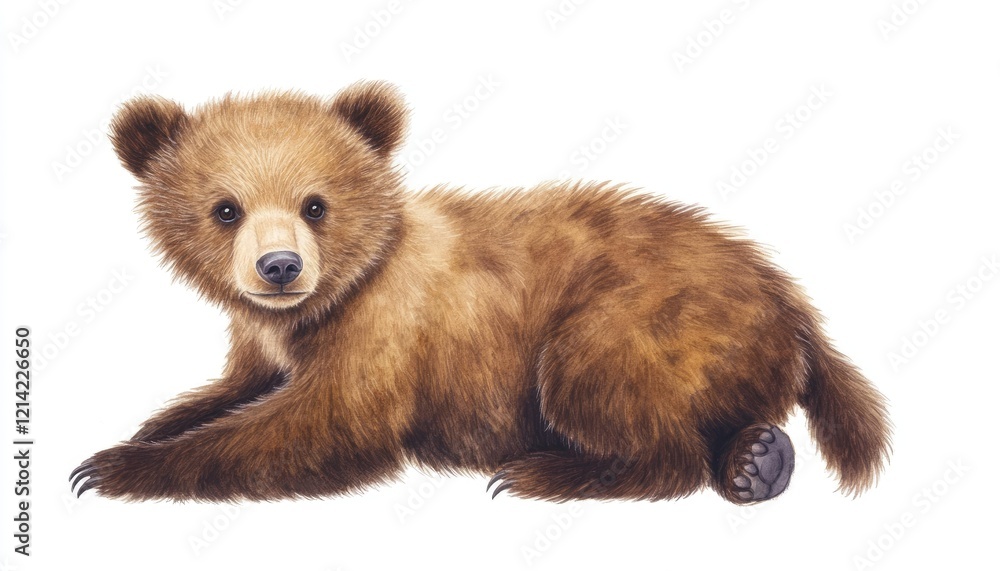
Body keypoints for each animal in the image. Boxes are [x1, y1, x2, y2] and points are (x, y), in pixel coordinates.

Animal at [70, 81, 890, 504]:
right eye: (225, 207)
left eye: (315, 203)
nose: (278, 267)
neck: (323, 305)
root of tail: (785, 297)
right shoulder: (269, 341)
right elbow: (235, 386)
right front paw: (149, 428)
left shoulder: (391, 330)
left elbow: (322, 423)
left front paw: (115, 467)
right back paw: (756, 460)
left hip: (636, 316)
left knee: (611, 396)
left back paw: (547, 471)